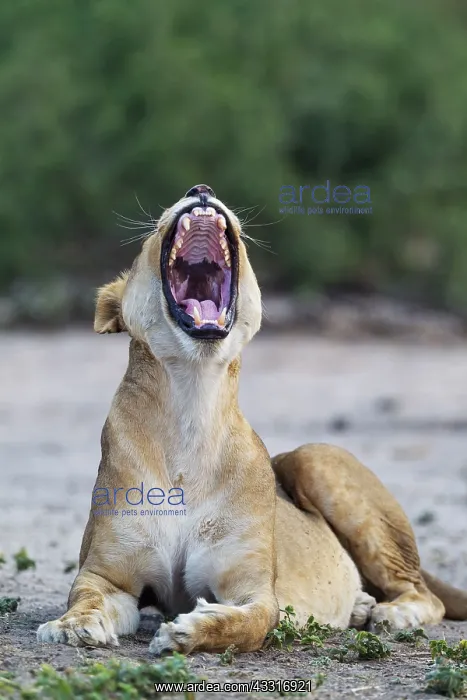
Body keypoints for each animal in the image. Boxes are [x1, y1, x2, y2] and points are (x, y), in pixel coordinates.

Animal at [37, 184, 467, 654]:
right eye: (152, 232)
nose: (201, 190)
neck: (193, 401)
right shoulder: (108, 574)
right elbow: (86, 595)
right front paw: (72, 625)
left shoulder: (255, 588)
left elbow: (249, 623)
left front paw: (187, 631)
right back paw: (359, 607)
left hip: (312, 459)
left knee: (423, 593)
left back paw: (391, 613)